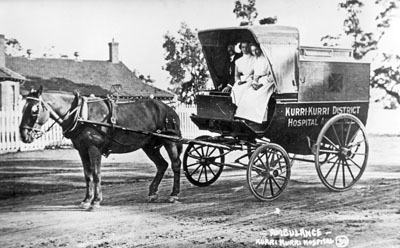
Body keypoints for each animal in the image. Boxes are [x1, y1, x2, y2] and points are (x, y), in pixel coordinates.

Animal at [21, 86, 184, 208]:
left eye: (34, 110)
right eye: (23, 109)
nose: (23, 135)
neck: (81, 114)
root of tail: (170, 109)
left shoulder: (94, 149)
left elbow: (96, 173)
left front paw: (96, 200)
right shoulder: (82, 150)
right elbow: (87, 174)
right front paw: (86, 200)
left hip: (169, 141)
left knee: (175, 164)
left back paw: (174, 195)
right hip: (149, 146)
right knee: (162, 165)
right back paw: (152, 193)